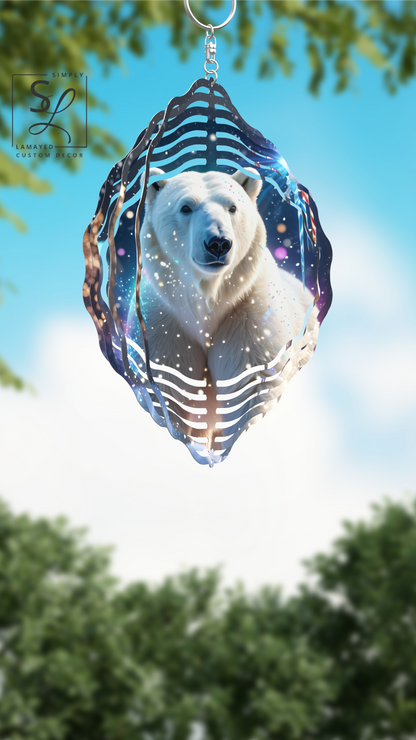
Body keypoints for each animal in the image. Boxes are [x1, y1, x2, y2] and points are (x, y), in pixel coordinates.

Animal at [133, 167, 318, 449]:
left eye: (232, 207)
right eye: (185, 207)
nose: (218, 243)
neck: (208, 301)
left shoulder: (248, 318)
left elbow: (248, 389)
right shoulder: (164, 324)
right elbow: (171, 385)